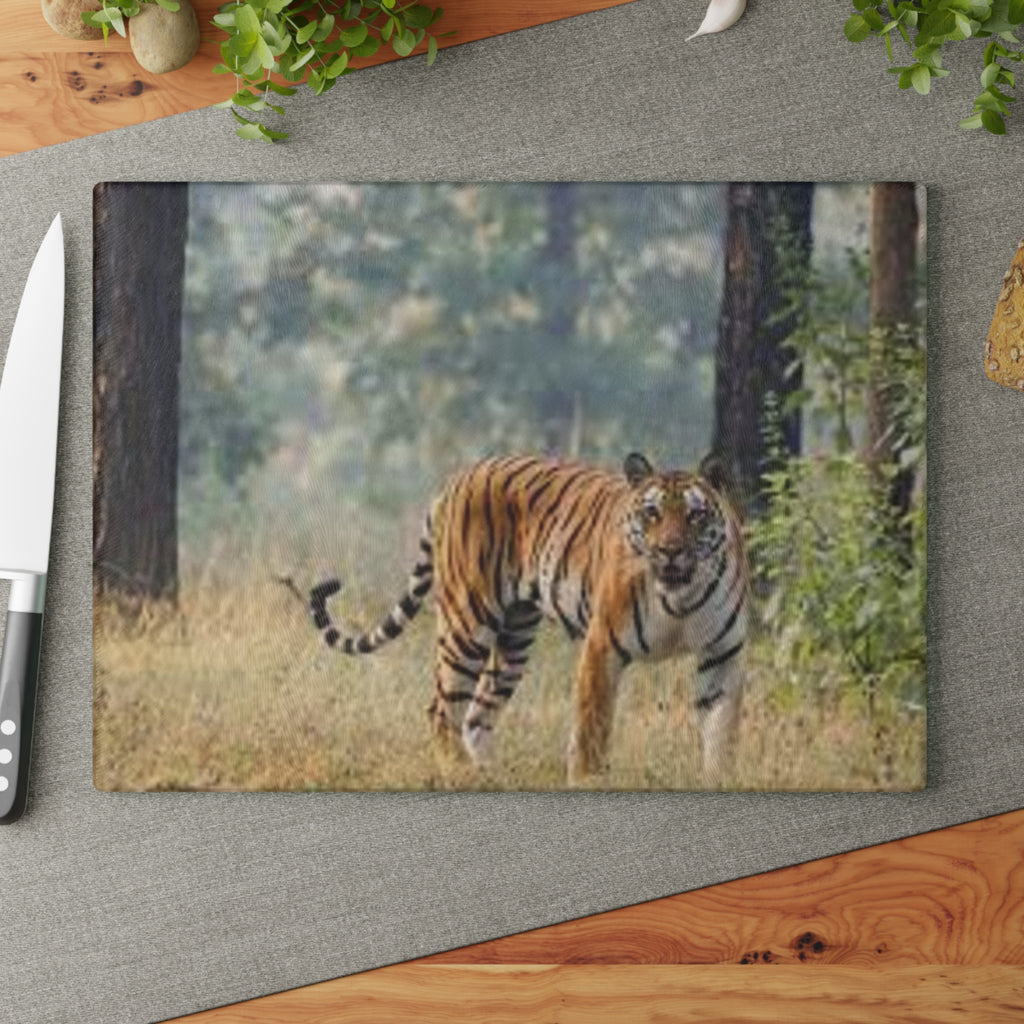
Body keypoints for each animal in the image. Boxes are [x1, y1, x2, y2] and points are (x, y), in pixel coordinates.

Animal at [303, 452, 749, 787]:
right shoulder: (602, 646)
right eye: (652, 513)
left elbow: (721, 731)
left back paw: (490, 775)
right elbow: (592, 727)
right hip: (468, 621)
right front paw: (587, 782)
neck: (679, 598)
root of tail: (459, 476)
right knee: (442, 708)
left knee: (476, 714)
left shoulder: (722, 654)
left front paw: (719, 781)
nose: (670, 551)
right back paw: (461, 773)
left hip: (514, 638)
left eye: (694, 516)